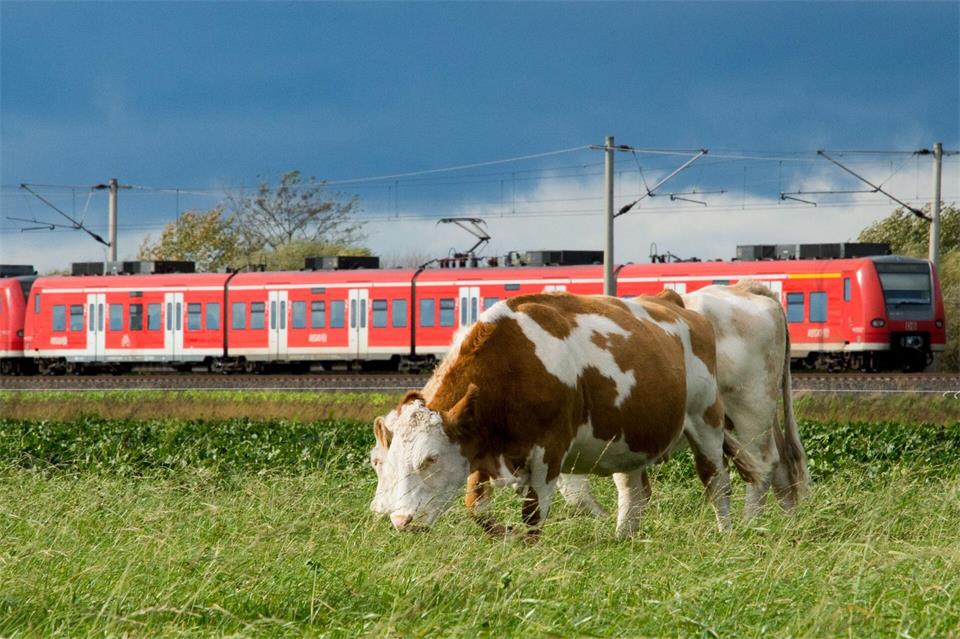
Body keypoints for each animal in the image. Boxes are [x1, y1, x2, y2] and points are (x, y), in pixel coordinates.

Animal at [373, 292, 762, 538]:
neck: (513, 363)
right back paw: (623, 539)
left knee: (716, 482)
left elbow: (532, 513)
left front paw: (526, 543)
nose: (401, 520)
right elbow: (476, 508)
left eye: (431, 459)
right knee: (634, 492)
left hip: (706, 420)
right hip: (630, 439)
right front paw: (505, 534)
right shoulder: (482, 450)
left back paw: (725, 533)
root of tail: (673, 303)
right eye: (387, 461)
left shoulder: (549, 450)